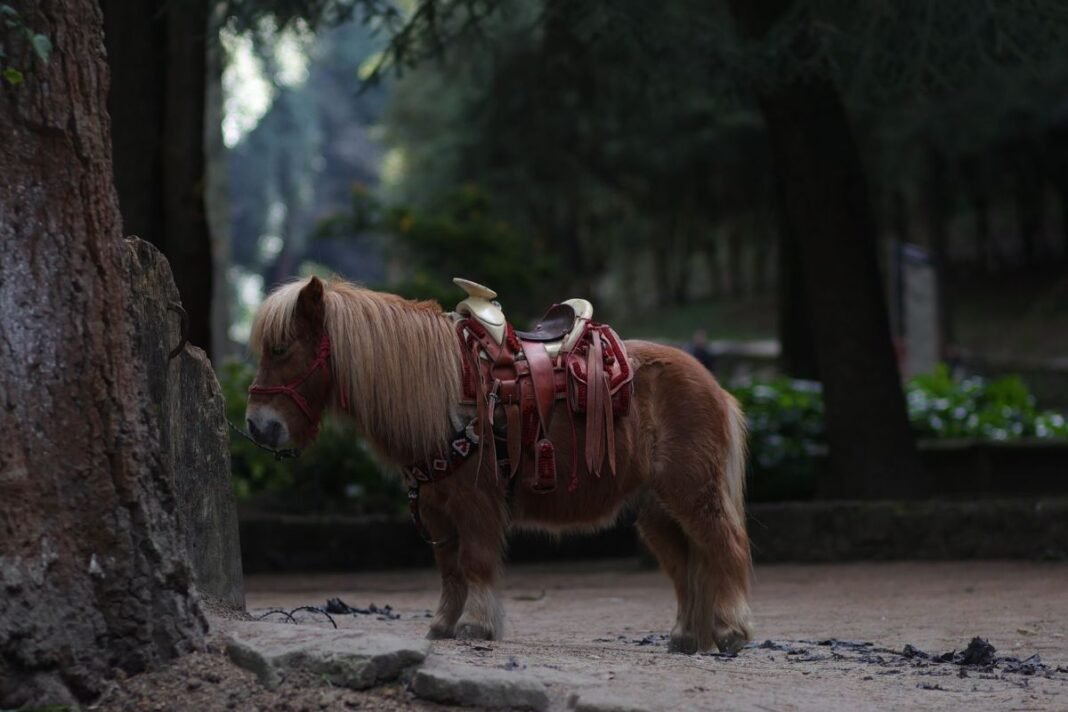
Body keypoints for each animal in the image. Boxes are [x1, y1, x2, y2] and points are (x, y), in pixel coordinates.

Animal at [244, 275, 753, 653]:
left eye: (282, 348)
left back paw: (731, 630)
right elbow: (450, 570)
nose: (257, 426)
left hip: (694, 492)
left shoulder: (475, 502)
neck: (447, 392)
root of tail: (715, 386)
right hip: (656, 509)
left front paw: (475, 624)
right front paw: (443, 625)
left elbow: (476, 562)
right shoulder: (437, 507)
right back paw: (686, 636)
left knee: (724, 547)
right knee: (685, 565)